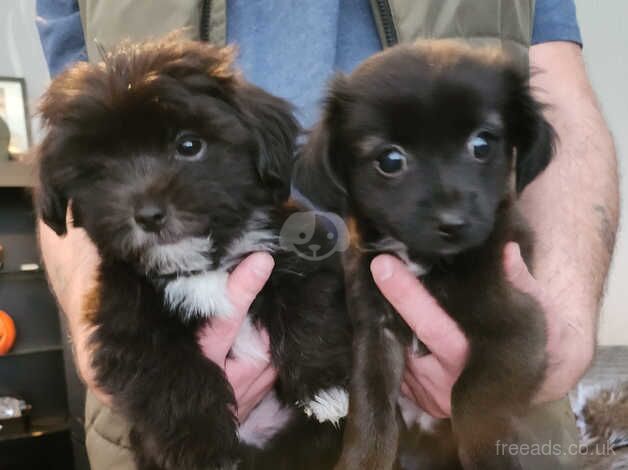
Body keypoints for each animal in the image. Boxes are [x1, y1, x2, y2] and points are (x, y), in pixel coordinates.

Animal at [35, 37, 354, 470]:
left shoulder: (301, 253)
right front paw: (204, 450)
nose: (148, 214)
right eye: (99, 169)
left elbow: (310, 310)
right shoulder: (127, 325)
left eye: (189, 145)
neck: (201, 265)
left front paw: (324, 389)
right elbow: (175, 377)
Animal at [296, 41, 556, 470]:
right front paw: (363, 460)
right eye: (390, 160)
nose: (452, 223)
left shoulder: (519, 326)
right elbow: (370, 409)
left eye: (482, 144)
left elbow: (472, 399)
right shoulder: (374, 332)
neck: (426, 262)